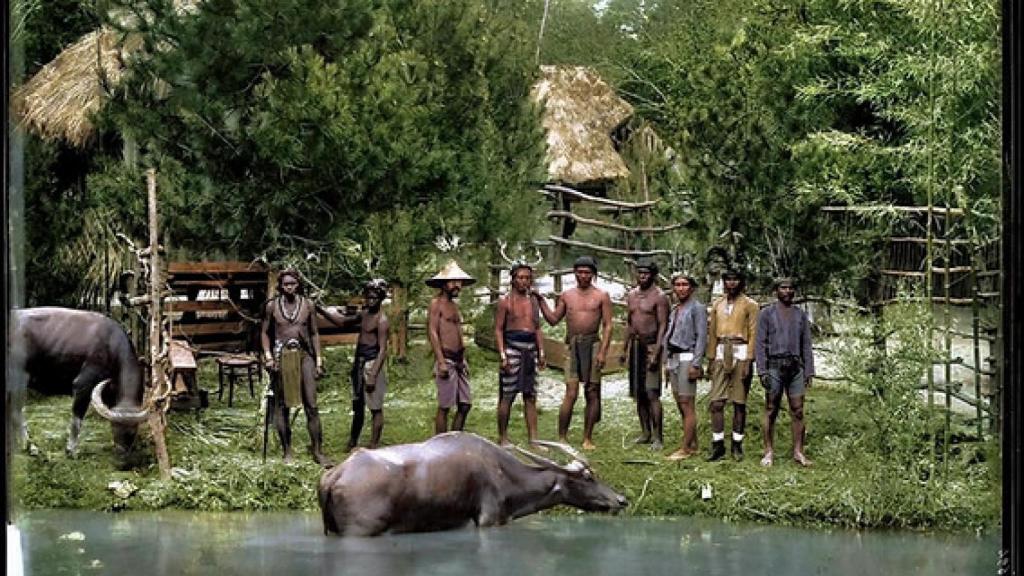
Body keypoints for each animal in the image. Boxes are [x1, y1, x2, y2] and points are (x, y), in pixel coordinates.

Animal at [10, 307, 149, 455]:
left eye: (134, 429)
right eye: (114, 425)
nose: (122, 449)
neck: (111, 347)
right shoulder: (83, 384)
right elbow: (77, 419)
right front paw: (71, 449)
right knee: (16, 412)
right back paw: (31, 447)